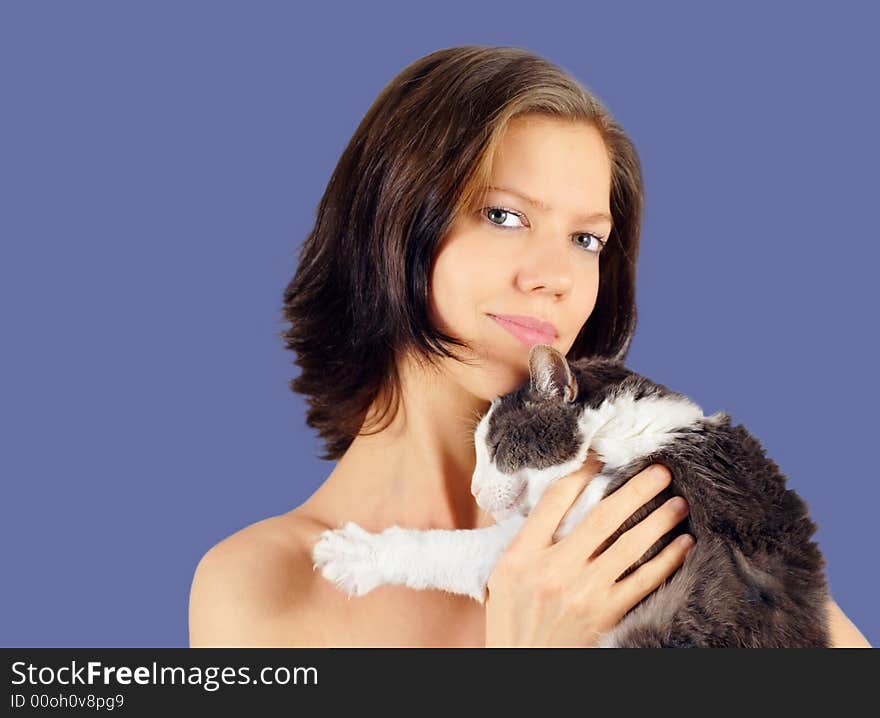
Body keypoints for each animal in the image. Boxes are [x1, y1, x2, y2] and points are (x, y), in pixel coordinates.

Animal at [312, 346, 832, 648]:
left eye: (495, 447)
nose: (475, 489)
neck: (622, 432)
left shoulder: (641, 521)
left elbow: (455, 550)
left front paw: (356, 554)